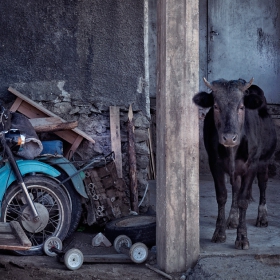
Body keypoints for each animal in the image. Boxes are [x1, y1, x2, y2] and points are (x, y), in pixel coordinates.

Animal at [192, 78, 276, 249]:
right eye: (216, 106)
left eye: (241, 107)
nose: (229, 138)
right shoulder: (214, 163)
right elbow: (222, 196)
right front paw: (219, 232)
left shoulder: (252, 164)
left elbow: (243, 200)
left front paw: (242, 237)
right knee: (236, 188)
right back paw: (232, 218)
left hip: (265, 161)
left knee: (262, 185)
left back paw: (262, 217)